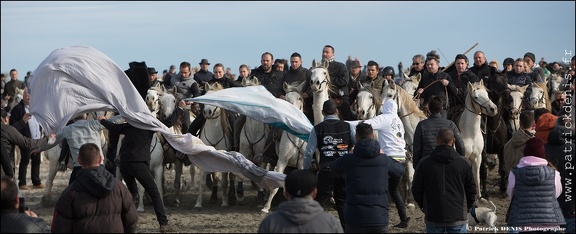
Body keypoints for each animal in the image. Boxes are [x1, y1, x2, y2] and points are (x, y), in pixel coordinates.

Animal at [260, 82, 306, 214]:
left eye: (299, 98)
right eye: (286, 98)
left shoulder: (301, 162)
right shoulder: (282, 161)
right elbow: (275, 187)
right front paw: (266, 207)